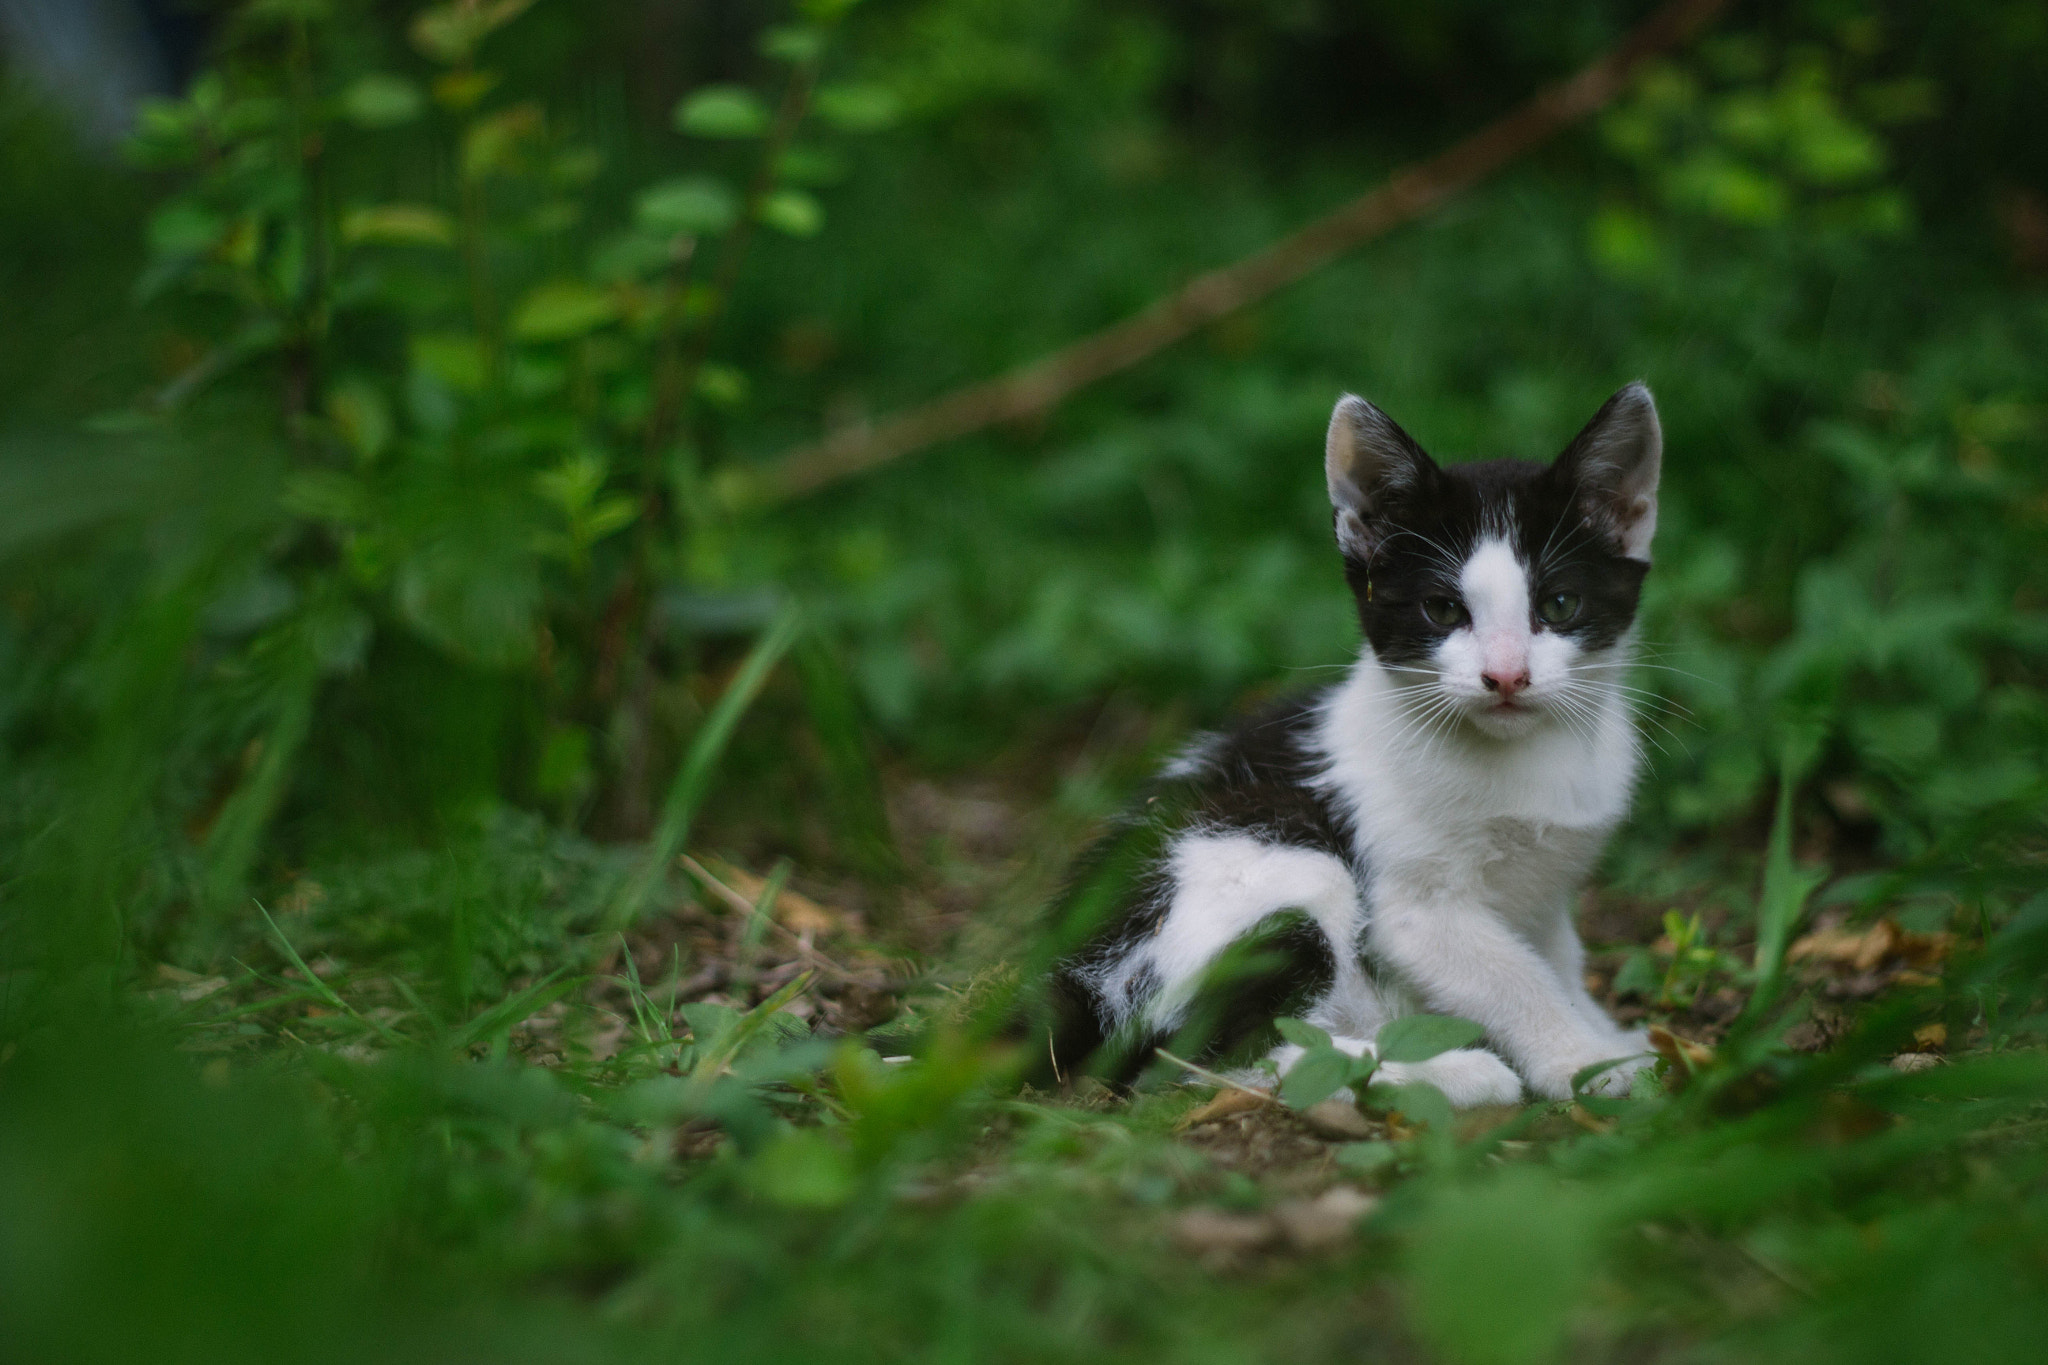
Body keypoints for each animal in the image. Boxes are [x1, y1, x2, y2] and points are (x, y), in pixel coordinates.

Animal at [1040, 378, 1662, 1105]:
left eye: (1560, 604)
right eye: (1442, 610)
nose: (1507, 676)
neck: (1528, 754)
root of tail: (1074, 977)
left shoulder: (1544, 887)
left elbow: (1558, 958)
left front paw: (1610, 1036)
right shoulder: (1414, 915)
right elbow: (1514, 977)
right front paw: (1585, 1062)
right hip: (1275, 851)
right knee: (1200, 1057)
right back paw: (1447, 1074)